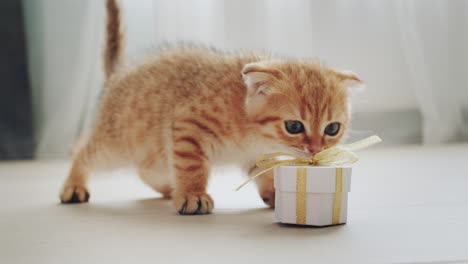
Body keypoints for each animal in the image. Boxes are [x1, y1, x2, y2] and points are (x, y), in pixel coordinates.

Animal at [59, 0, 362, 214]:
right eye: (294, 126)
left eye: (332, 129)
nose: (316, 149)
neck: (251, 129)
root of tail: (118, 74)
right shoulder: (187, 126)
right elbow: (192, 166)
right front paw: (193, 194)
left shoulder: (254, 154)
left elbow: (263, 172)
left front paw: (276, 193)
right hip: (118, 143)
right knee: (82, 150)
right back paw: (74, 186)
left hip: (152, 152)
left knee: (146, 168)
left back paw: (169, 187)